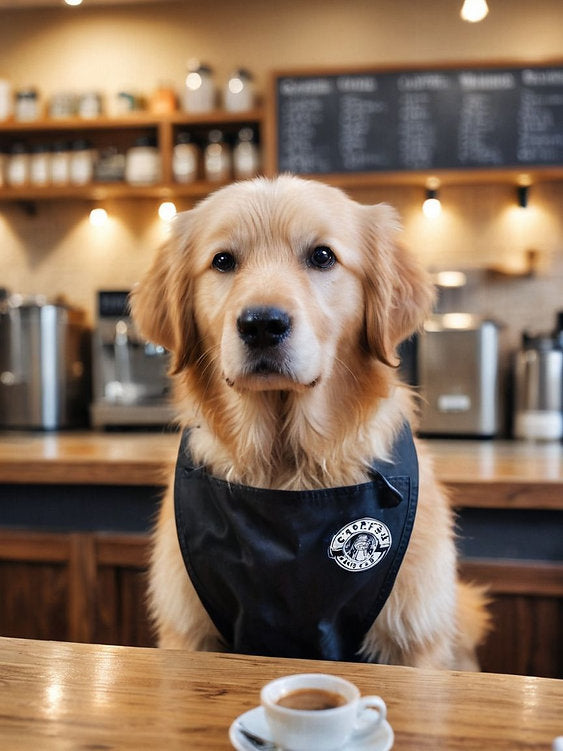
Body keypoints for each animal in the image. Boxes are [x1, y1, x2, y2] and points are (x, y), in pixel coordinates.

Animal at [131, 176, 490, 668]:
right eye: (223, 261)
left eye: (322, 256)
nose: (262, 324)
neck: (287, 465)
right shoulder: (189, 630)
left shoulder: (413, 639)